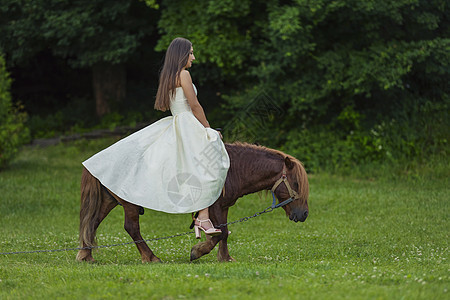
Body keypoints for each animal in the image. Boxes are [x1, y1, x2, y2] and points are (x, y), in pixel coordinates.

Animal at [77, 142, 310, 262]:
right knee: (131, 228)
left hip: (109, 200)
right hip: (129, 204)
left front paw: (224, 258)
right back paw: (150, 257)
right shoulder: (214, 206)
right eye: (296, 183)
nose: (304, 214)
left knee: (91, 224)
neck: (233, 168)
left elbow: (224, 232)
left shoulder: (223, 206)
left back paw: (85, 255)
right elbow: (219, 232)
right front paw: (198, 251)